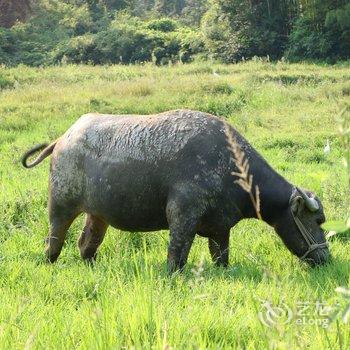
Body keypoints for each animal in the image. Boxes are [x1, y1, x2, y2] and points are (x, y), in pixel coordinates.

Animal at [22, 109, 330, 270]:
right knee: (54, 241)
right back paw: (49, 262)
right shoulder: (182, 216)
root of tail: (63, 139)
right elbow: (176, 256)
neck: (232, 167)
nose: (326, 258)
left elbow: (221, 257)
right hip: (59, 208)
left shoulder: (220, 228)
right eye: (317, 220)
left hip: (97, 215)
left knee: (86, 243)